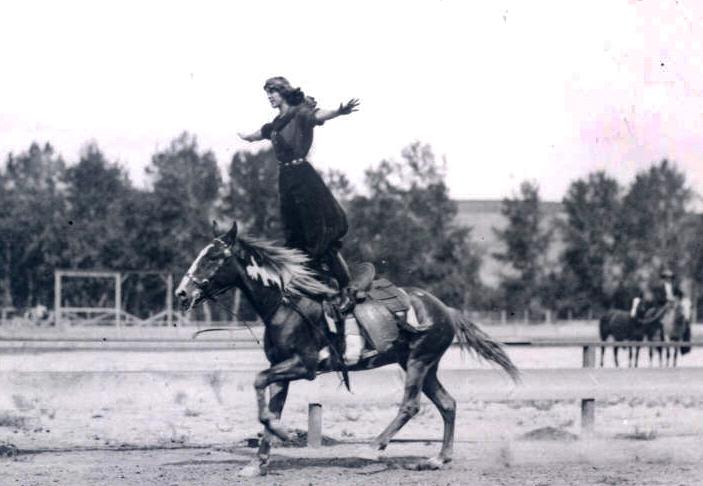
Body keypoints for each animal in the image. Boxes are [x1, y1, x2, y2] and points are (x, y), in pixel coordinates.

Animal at [173, 222, 520, 476]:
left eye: (213, 258)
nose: (181, 293)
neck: (287, 304)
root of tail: (446, 309)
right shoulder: (281, 370)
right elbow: (271, 408)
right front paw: (258, 463)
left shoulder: (303, 366)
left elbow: (259, 384)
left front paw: (285, 436)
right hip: (422, 365)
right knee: (447, 404)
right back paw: (437, 459)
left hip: (419, 362)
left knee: (410, 405)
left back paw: (372, 447)